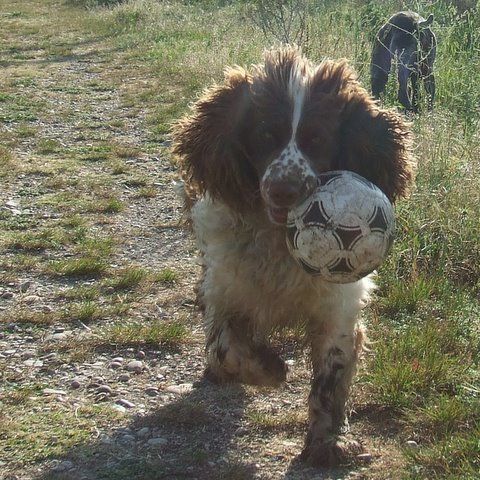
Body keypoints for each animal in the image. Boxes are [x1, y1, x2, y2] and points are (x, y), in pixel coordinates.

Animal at [172, 47, 412, 466]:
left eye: (318, 139)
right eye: (265, 135)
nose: (284, 190)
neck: (279, 247)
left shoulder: (337, 305)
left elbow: (332, 373)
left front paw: (327, 441)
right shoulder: (226, 290)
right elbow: (228, 348)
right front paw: (267, 369)